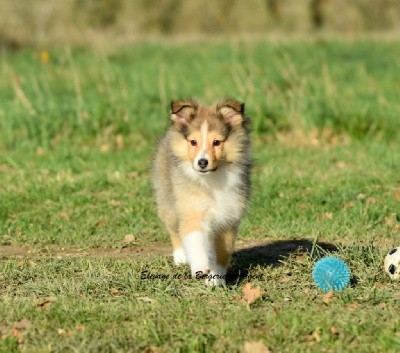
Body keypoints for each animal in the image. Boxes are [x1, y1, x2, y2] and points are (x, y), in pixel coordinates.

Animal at [152, 97, 252, 284]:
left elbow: (222, 252)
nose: (202, 162)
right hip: (167, 202)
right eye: (193, 142)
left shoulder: (229, 218)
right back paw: (181, 257)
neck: (212, 180)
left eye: (216, 142)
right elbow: (194, 239)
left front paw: (215, 279)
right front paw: (200, 267)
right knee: (173, 229)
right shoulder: (192, 209)